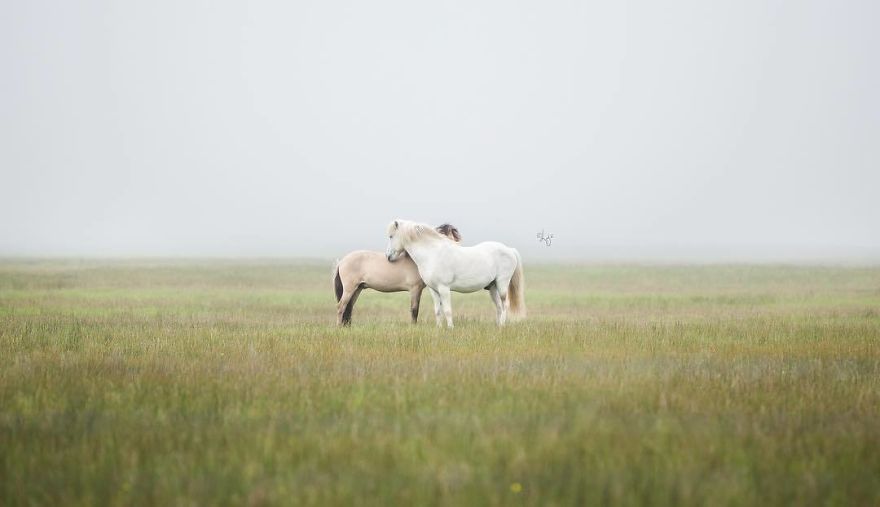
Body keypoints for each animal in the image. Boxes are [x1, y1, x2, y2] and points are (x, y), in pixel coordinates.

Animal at [385, 219, 525, 328]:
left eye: (391, 236)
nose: (388, 257)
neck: (432, 253)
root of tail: (510, 250)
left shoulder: (444, 289)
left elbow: (447, 310)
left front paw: (450, 328)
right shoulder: (433, 290)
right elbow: (437, 310)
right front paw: (439, 328)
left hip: (502, 284)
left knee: (505, 304)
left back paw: (502, 325)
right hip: (493, 287)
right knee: (499, 307)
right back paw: (498, 326)